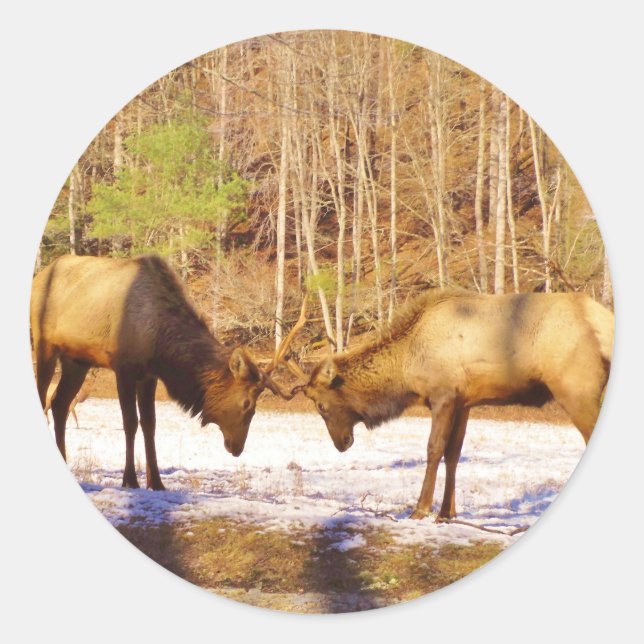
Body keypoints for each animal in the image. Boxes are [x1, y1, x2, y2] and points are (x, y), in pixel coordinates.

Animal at [30, 254, 302, 491]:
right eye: (247, 404)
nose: (237, 448)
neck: (159, 346)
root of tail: (38, 278)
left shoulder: (149, 375)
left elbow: (150, 423)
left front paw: (157, 482)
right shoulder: (123, 367)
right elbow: (130, 422)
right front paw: (130, 480)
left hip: (76, 360)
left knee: (60, 404)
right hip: (44, 344)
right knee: (44, 396)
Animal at [283, 289, 614, 521]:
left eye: (321, 406)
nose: (341, 443)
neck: (406, 368)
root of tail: (600, 318)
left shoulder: (443, 395)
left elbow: (434, 449)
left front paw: (420, 508)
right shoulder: (464, 401)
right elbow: (454, 453)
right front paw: (446, 512)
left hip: (575, 388)